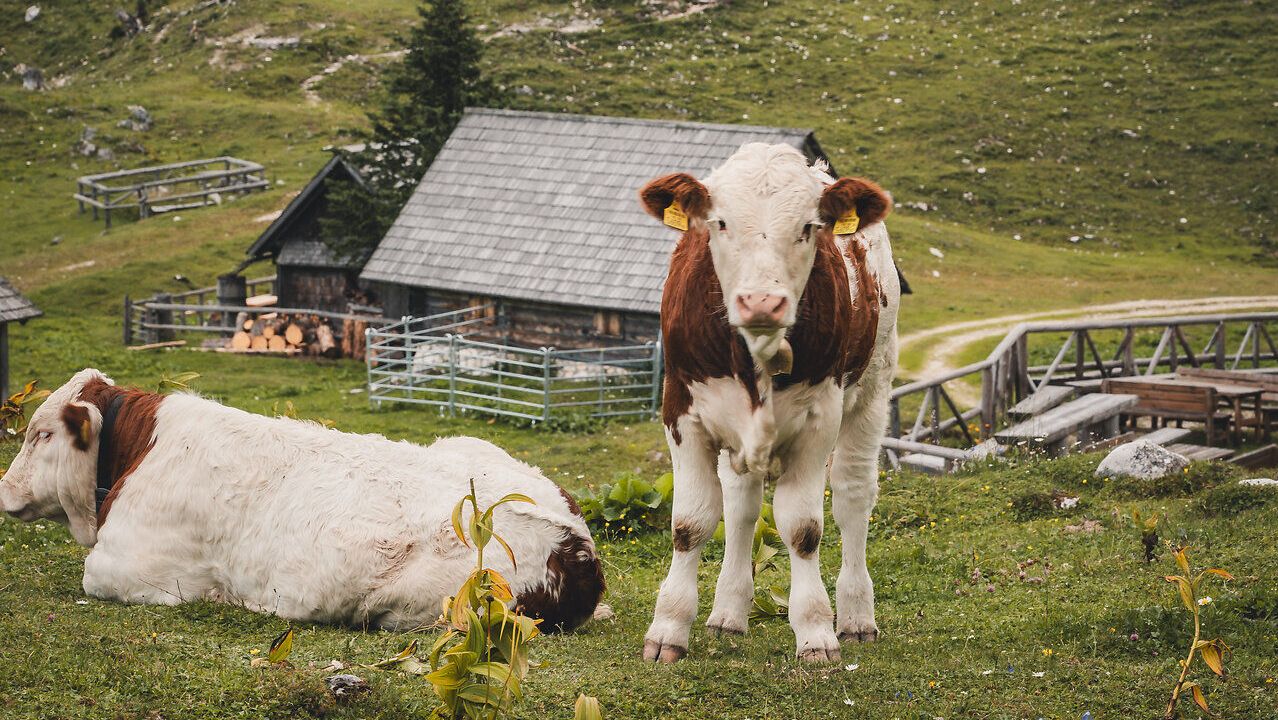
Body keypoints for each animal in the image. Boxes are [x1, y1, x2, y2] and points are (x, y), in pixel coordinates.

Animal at [0, 369, 604, 632]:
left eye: (42, 436)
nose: (4, 490)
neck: (141, 450)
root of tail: (576, 543)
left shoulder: (128, 566)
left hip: (425, 604)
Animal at [638, 143, 899, 663]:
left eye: (809, 226)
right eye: (718, 222)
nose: (761, 302)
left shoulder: (820, 419)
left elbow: (803, 528)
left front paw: (816, 632)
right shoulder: (681, 411)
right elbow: (691, 522)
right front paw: (669, 629)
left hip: (872, 391)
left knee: (853, 497)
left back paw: (856, 617)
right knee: (741, 504)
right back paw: (727, 614)